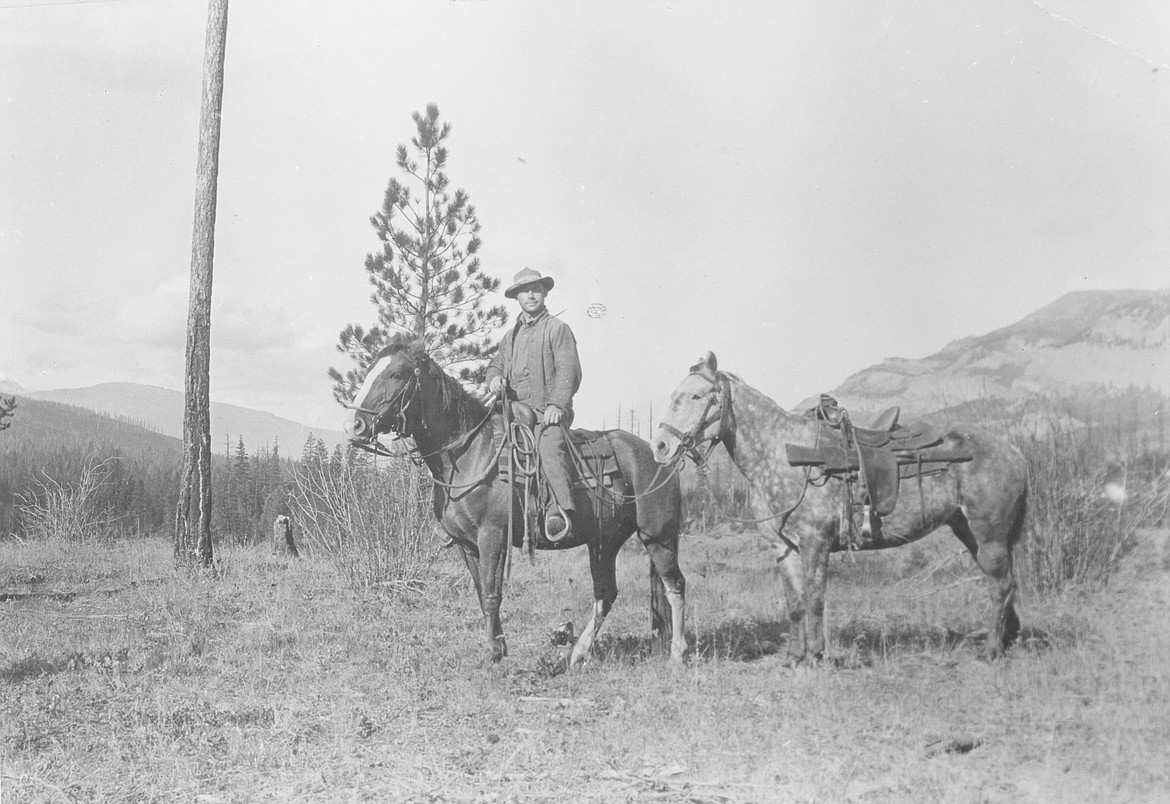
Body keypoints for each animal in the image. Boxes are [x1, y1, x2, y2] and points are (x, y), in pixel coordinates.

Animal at [346, 334, 683, 664]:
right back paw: (577, 654)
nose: (356, 425)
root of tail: (655, 453)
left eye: (396, 374)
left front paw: (492, 656)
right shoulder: (467, 545)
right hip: (604, 542)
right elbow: (482, 593)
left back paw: (678, 653)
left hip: (658, 538)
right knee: (606, 594)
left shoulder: (492, 536)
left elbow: (492, 594)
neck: (470, 452)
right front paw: (498, 647)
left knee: (674, 586)